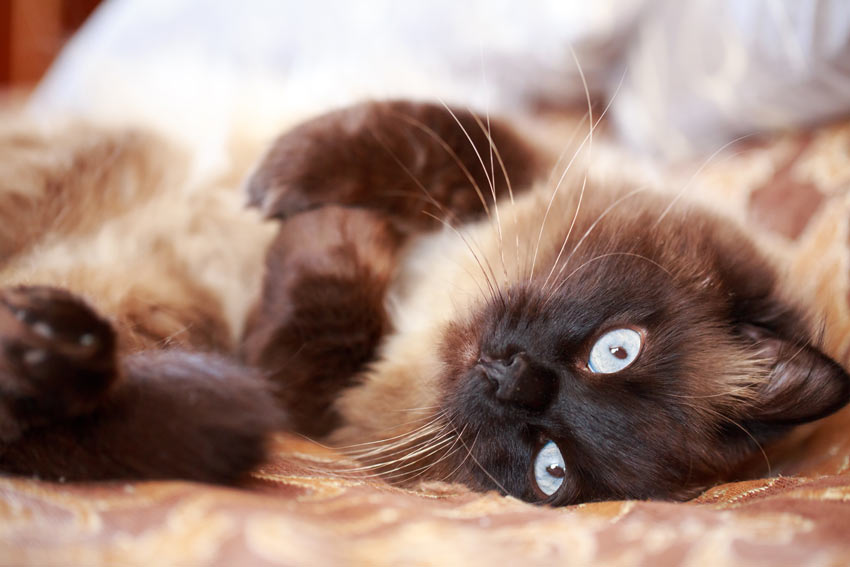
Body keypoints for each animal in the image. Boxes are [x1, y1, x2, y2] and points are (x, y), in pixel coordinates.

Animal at [1, 102, 848, 506]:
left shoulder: (300, 389)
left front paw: (336, 225)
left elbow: (326, 305)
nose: (514, 380)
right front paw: (288, 174)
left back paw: (45, 345)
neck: (436, 297)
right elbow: (440, 142)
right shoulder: (532, 157)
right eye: (617, 349)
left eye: (550, 467)